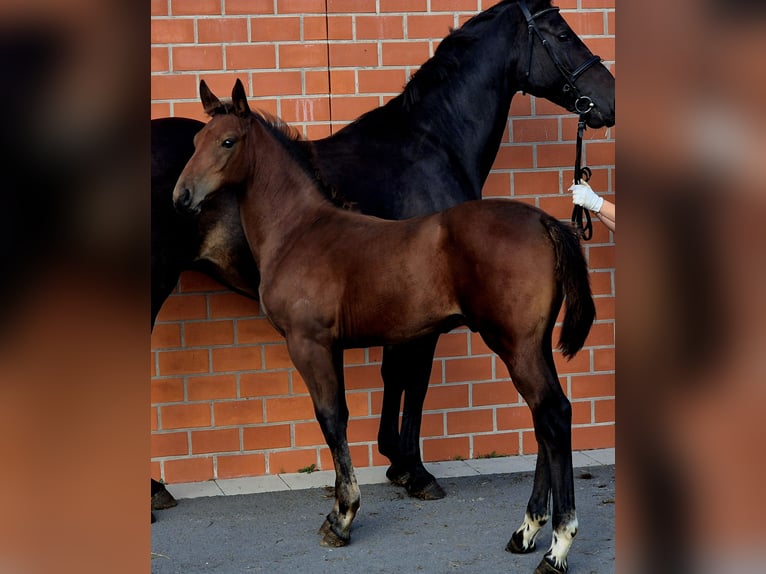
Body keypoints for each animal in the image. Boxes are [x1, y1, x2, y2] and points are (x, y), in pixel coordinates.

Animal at [151, 0, 614, 512]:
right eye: (563, 32)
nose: (609, 100)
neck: (429, 144)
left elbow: (396, 376)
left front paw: (397, 463)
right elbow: (410, 378)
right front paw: (411, 468)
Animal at [173, 77, 596, 574]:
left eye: (227, 141)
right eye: (195, 142)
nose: (181, 197)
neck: (299, 230)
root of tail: (544, 220)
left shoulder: (309, 343)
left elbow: (331, 418)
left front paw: (342, 517)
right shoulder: (330, 346)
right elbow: (340, 416)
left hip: (515, 344)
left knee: (553, 416)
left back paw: (556, 547)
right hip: (532, 345)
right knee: (546, 418)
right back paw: (525, 532)